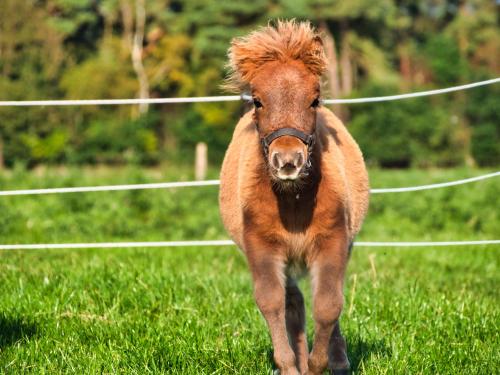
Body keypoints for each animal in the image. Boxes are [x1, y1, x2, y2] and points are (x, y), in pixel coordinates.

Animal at [221, 20, 370, 375]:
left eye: (315, 100)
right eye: (257, 101)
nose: (288, 161)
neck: (293, 203)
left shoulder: (333, 240)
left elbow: (329, 304)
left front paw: (320, 364)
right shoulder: (260, 246)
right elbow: (271, 301)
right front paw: (291, 366)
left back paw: (337, 359)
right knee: (294, 302)